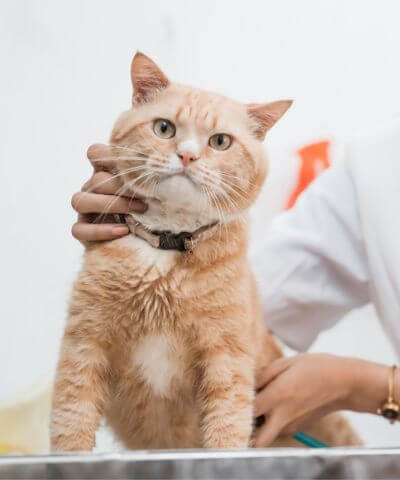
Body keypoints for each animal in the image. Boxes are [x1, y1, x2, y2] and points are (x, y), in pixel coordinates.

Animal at [50, 52, 360, 450]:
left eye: (221, 141)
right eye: (164, 128)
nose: (187, 156)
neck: (166, 249)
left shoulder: (226, 358)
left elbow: (226, 428)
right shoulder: (85, 343)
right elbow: (71, 422)